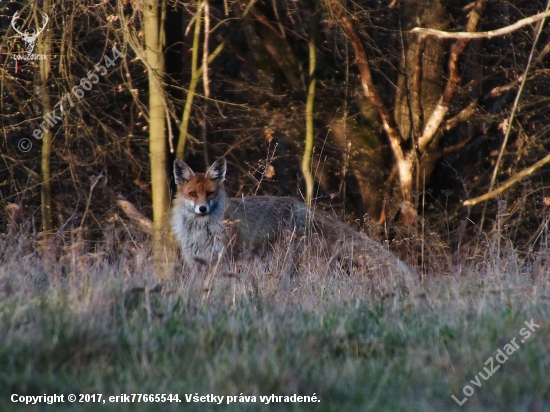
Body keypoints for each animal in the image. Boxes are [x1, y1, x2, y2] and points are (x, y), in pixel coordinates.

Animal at [171, 156, 414, 278]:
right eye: (192, 194)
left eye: (210, 193)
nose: (202, 209)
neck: (201, 231)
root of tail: (297, 205)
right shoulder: (197, 262)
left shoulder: (224, 259)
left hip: (283, 259)